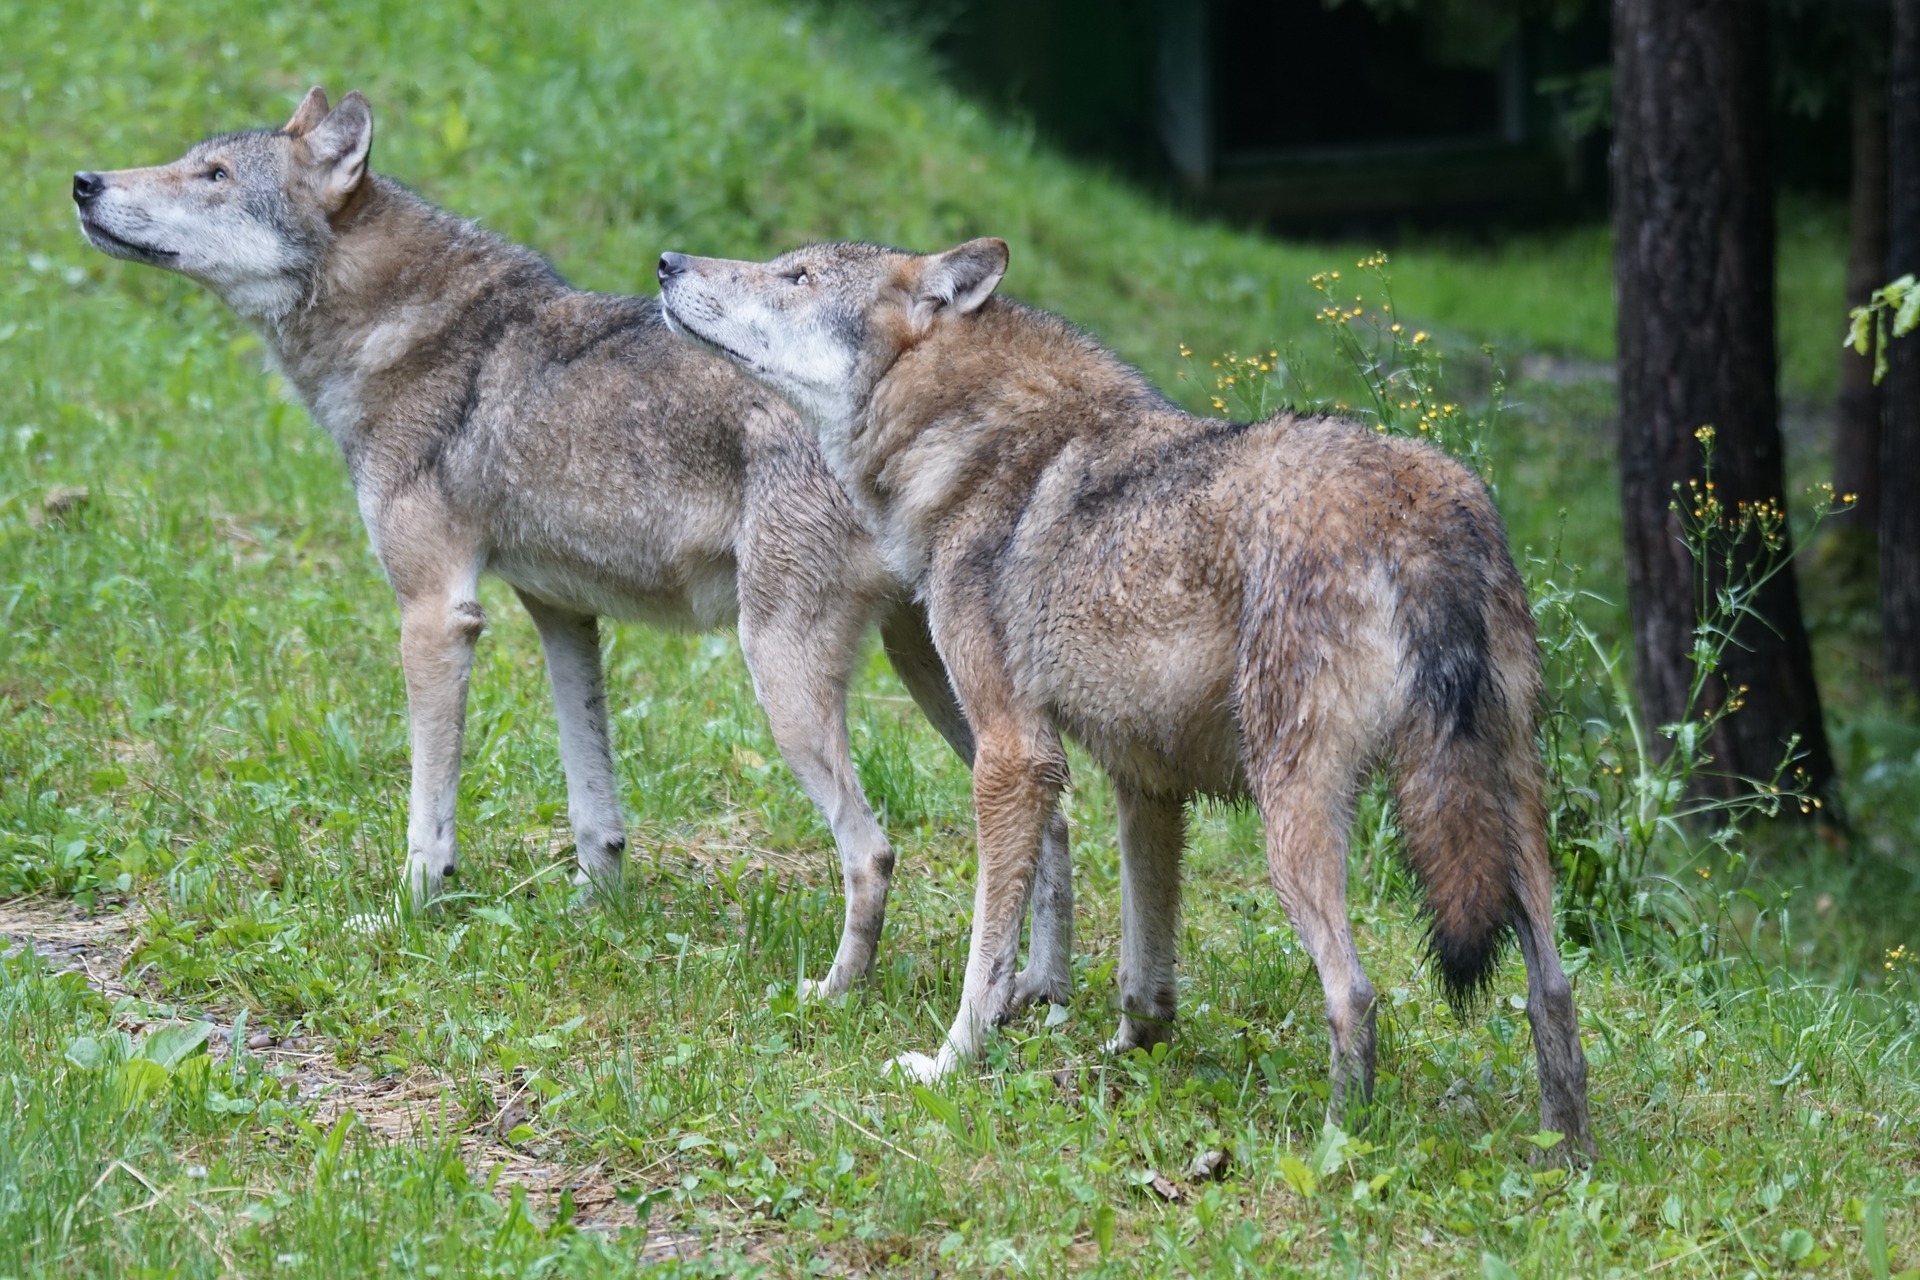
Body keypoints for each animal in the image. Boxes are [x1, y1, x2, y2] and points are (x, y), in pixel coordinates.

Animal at [67, 92, 1075, 1013]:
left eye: (213, 176)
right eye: (188, 160)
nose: (83, 182)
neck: (409, 336)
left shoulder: (436, 613)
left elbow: (428, 817)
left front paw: (403, 916)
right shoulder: (560, 613)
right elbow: (596, 807)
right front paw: (592, 915)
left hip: (786, 673)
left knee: (873, 849)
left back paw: (834, 994)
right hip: (937, 679)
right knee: (1055, 823)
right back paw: (1039, 996)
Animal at [656, 239, 1589, 1151]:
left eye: (796, 275)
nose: (667, 264)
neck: (980, 448)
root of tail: (1421, 507)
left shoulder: (1015, 757)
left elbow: (986, 957)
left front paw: (950, 1063)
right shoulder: (1145, 782)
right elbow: (1147, 968)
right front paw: (1122, 1053)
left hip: (1294, 826)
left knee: (1355, 992)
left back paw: (1331, 1155)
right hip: (1512, 815)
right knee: (1552, 991)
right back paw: (1566, 1161)